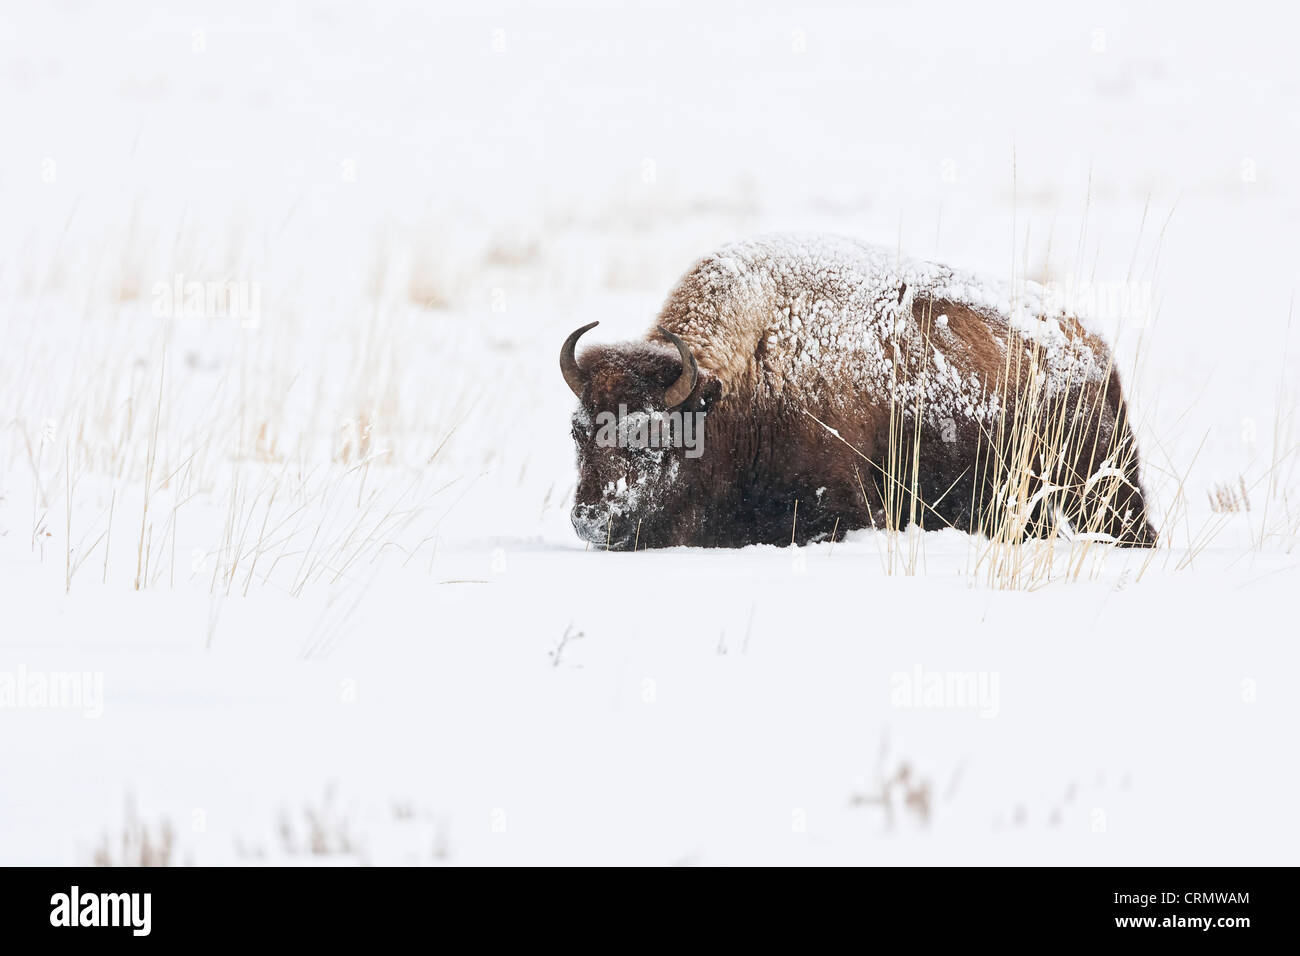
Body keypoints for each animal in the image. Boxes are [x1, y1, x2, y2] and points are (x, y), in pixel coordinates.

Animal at [560, 233, 1157, 550]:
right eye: (577, 432)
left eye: (657, 436)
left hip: (1099, 487)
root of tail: (1096, 349)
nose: (592, 519)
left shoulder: (841, 510)